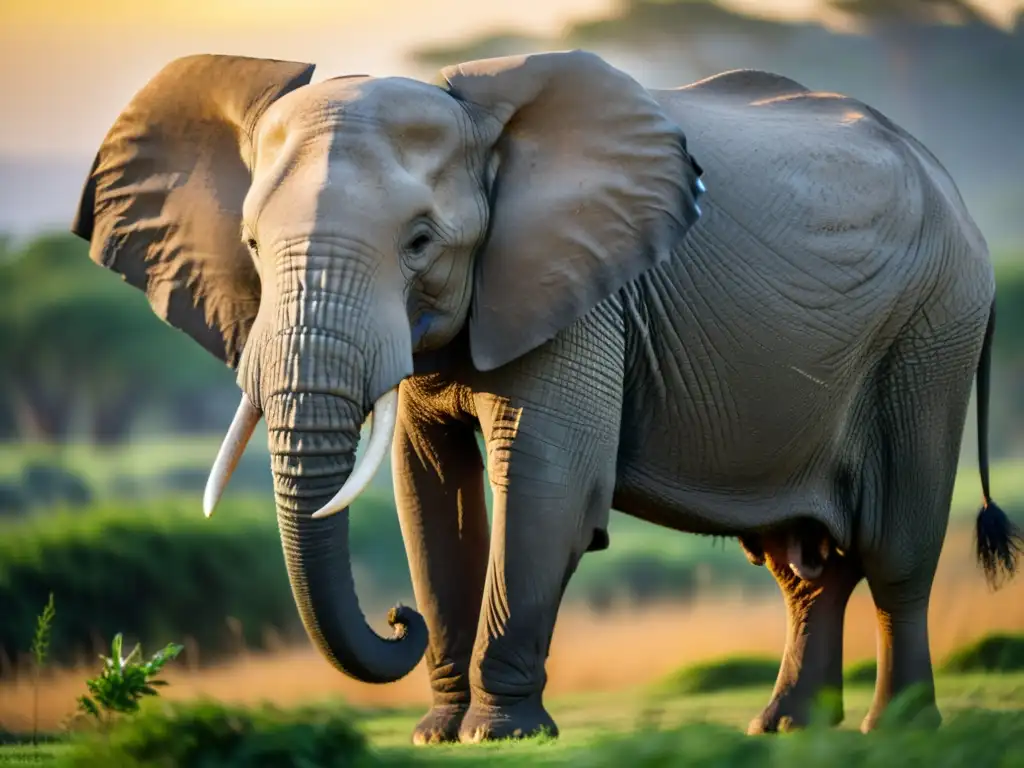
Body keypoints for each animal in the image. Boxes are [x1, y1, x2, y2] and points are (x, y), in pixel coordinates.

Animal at [68, 49, 1019, 745]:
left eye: (421, 242)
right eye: (255, 247)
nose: (396, 619)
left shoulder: (586, 297)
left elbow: (545, 479)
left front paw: (503, 734)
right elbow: (429, 492)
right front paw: (437, 733)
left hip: (933, 328)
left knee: (897, 552)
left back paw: (898, 728)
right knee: (806, 567)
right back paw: (785, 729)